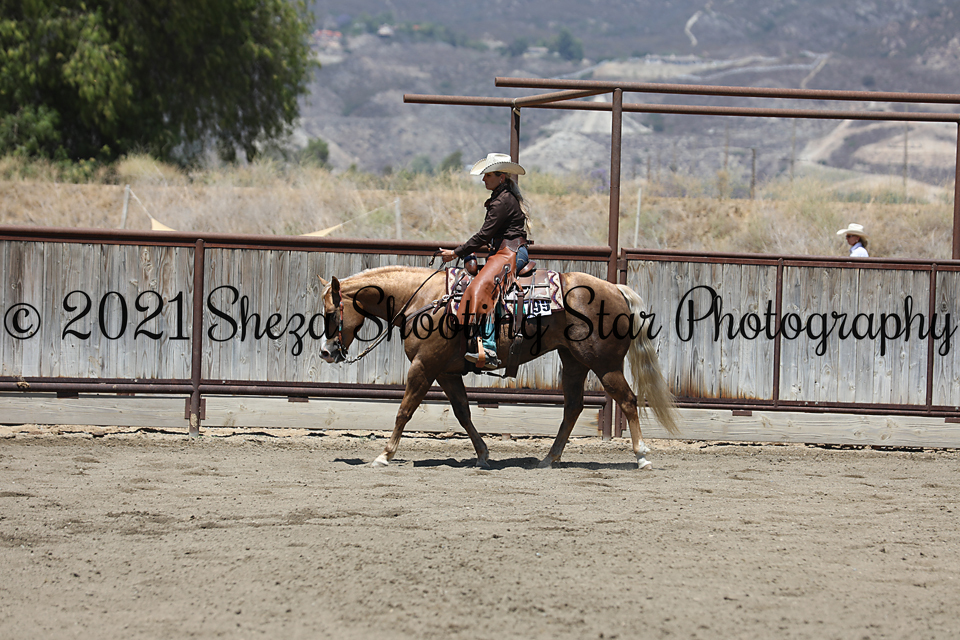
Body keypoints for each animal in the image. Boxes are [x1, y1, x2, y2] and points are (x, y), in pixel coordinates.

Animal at [319, 265, 679, 469]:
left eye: (330, 313)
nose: (325, 352)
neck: (425, 300)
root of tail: (615, 289)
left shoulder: (424, 367)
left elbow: (404, 411)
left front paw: (385, 455)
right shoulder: (446, 372)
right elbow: (463, 413)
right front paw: (482, 454)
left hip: (605, 365)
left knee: (628, 401)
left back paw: (642, 456)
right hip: (574, 362)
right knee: (573, 407)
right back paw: (549, 459)